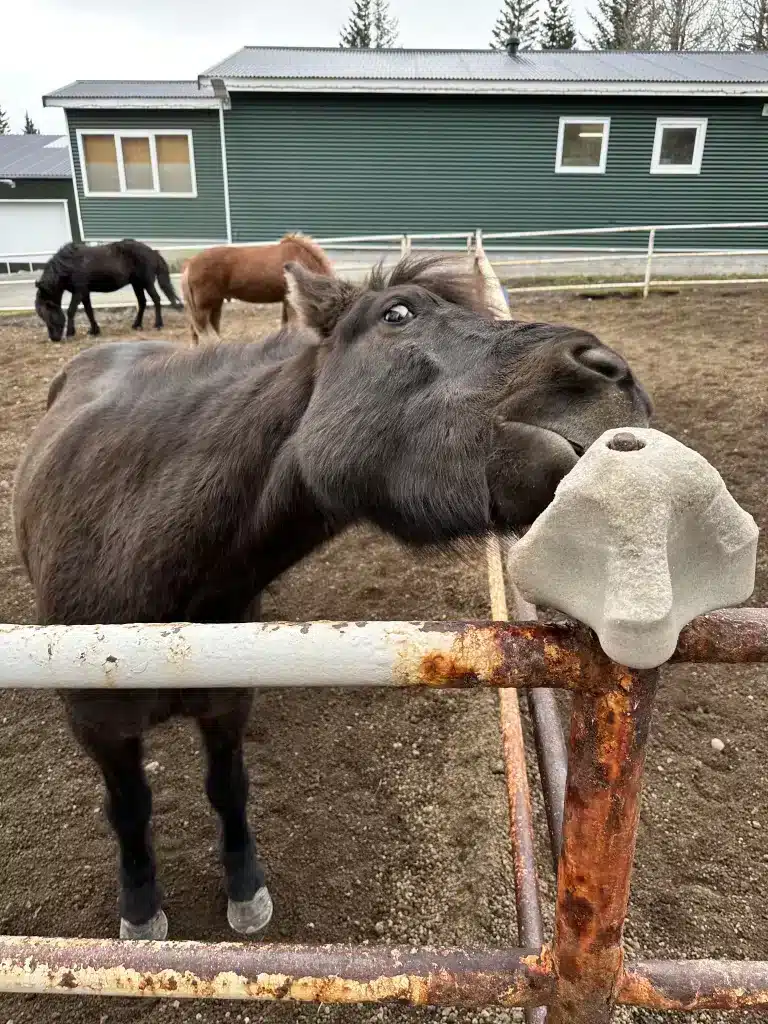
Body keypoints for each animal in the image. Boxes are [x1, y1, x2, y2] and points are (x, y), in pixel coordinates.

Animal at [12, 258, 651, 942]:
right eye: (398, 313)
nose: (614, 371)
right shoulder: (101, 731)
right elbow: (130, 811)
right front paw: (139, 907)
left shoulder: (226, 703)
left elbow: (227, 788)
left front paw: (245, 888)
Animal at [34, 237, 183, 342]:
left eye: (48, 313)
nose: (54, 338)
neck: (70, 265)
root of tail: (152, 252)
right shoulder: (85, 293)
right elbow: (89, 311)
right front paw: (94, 330)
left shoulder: (78, 292)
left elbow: (71, 311)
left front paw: (71, 333)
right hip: (137, 284)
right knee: (142, 302)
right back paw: (136, 325)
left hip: (146, 283)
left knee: (156, 299)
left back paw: (158, 324)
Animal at [182, 233, 335, 342]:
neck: (301, 259)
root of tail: (190, 265)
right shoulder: (290, 301)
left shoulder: (286, 300)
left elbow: (285, 325)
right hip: (204, 306)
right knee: (202, 329)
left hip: (215, 304)